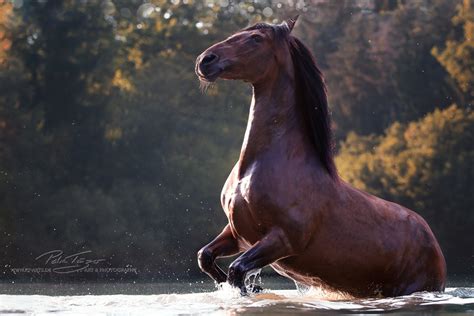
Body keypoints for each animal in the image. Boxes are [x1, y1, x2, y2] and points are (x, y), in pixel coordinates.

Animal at [194, 17, 446, 298]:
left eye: (256, 38)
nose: (206, 60)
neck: (256, 166)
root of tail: (433, 241)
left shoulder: (282, 239)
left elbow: (237, 270)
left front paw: (250, 289)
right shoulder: (238, 234)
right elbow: (205, 257)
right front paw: (245, 286)